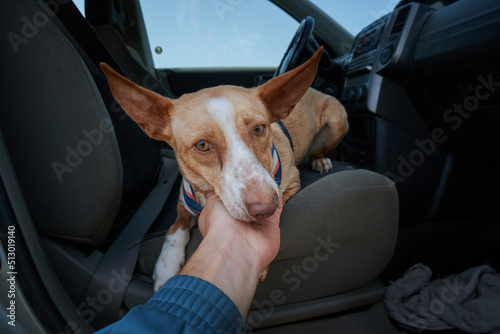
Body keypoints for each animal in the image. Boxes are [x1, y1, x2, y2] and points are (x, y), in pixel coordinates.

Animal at [98, 47, 348, 292]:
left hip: (339, 120)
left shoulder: (291, 182)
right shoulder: (183, 202)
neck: (204, 192)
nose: (265, 207)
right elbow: (174, 228)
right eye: (202, 145)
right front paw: (166, 265)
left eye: (259, 129)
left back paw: (320, 160)